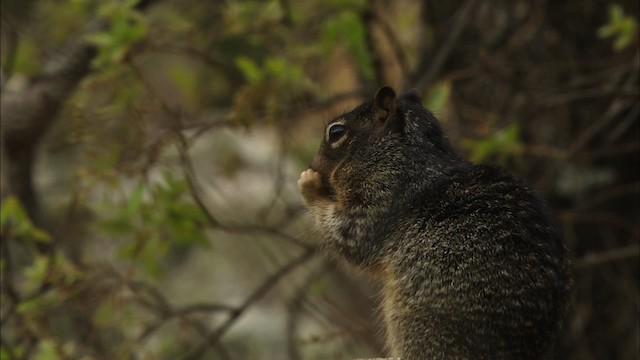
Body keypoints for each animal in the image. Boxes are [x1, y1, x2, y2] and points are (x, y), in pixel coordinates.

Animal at [298, 87, 572, 360]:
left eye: (336, 132)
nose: (312, 166)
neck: (399, 156)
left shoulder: (380, 202)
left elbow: (350, 237)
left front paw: (308, 183)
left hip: (413, 323)